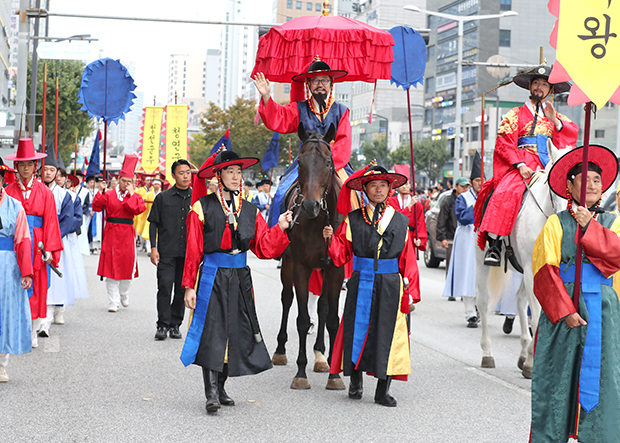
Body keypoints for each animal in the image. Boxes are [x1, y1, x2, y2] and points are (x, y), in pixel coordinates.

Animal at [274, 123, 346, 390]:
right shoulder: (302, 266)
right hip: (288, 263)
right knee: (286, 299)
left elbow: (333, 317)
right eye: (300, 162)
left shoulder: (336, 268)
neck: (319, 221)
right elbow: (303, 319)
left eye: (327, 162)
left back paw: (321, 356)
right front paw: (301, 372)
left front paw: (334, 373)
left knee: (323, 307)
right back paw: (280, 351)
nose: (309, 206)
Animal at [478, 141, 568, 378]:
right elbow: (536, 317)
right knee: (483, 301)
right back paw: (487, 353)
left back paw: (523, 354)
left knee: (519, 300)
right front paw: (532, 364)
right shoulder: (530, 269)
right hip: (481, 256)